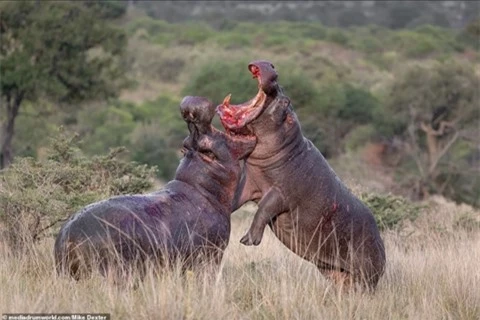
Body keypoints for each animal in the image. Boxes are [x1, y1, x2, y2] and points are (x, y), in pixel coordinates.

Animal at [54, 96, 256, 282]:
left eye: (185, 144)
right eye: (207, 147)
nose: (190, 109)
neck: (202, 188)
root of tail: (67, 237)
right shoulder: (211, 255)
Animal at [217, 60, 386, 290]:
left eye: (285, 102)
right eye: (283, 92)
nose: (271, 67)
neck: (287, 147)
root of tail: (382, 245)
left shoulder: (281, 192)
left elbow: (264, 208)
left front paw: (248, 240)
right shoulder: (250, 183)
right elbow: (236, 197)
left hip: (367, 273)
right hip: (333, 270)